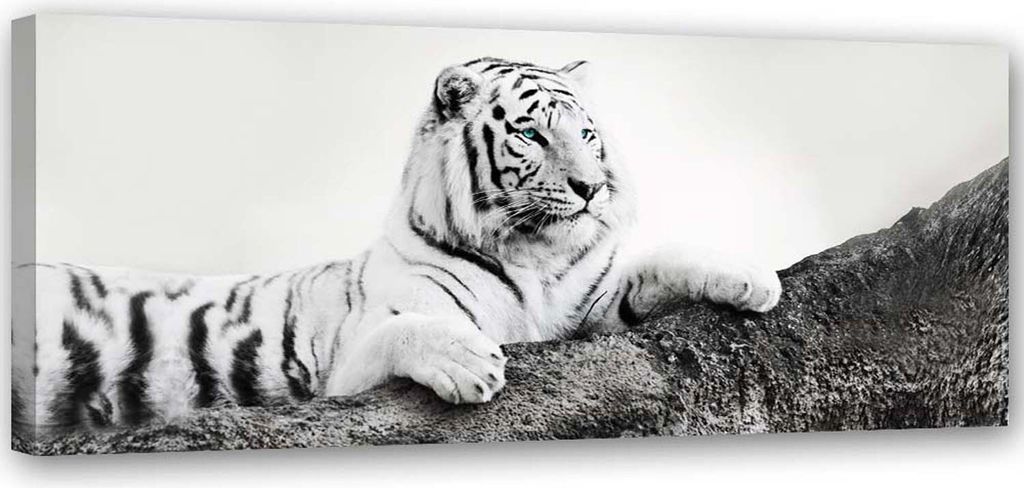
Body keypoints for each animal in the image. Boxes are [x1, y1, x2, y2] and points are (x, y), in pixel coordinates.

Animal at [11, 57, 781, 434]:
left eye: (588, 135)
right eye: (532, 134)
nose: (592, 189)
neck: (533, 255)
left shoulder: (592, 304)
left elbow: (658, 263)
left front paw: (754, 278)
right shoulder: (347, 366)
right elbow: (406, 331)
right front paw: (471, 363)